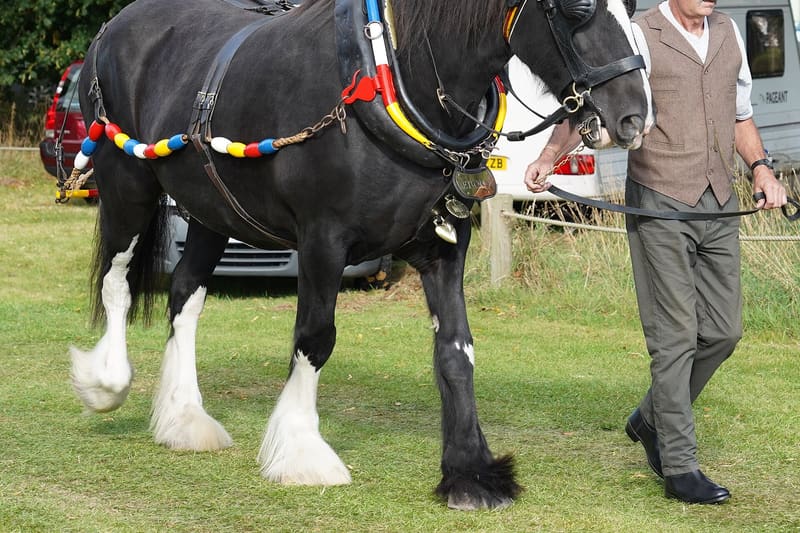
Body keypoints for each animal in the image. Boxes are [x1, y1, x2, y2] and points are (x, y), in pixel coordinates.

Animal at [69, 0, 652, 510]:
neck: (394, 76)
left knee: (185, 295)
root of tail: (114, 27)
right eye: (578, 9)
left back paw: (185, 419)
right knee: (117, 283)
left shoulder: (445, 249)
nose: (635, 118)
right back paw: (107, 382)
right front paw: (301, 452)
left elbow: (456, 351)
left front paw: (470, 472)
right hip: (127, 183)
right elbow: (315, 338)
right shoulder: (322, 241)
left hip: (211, 212)